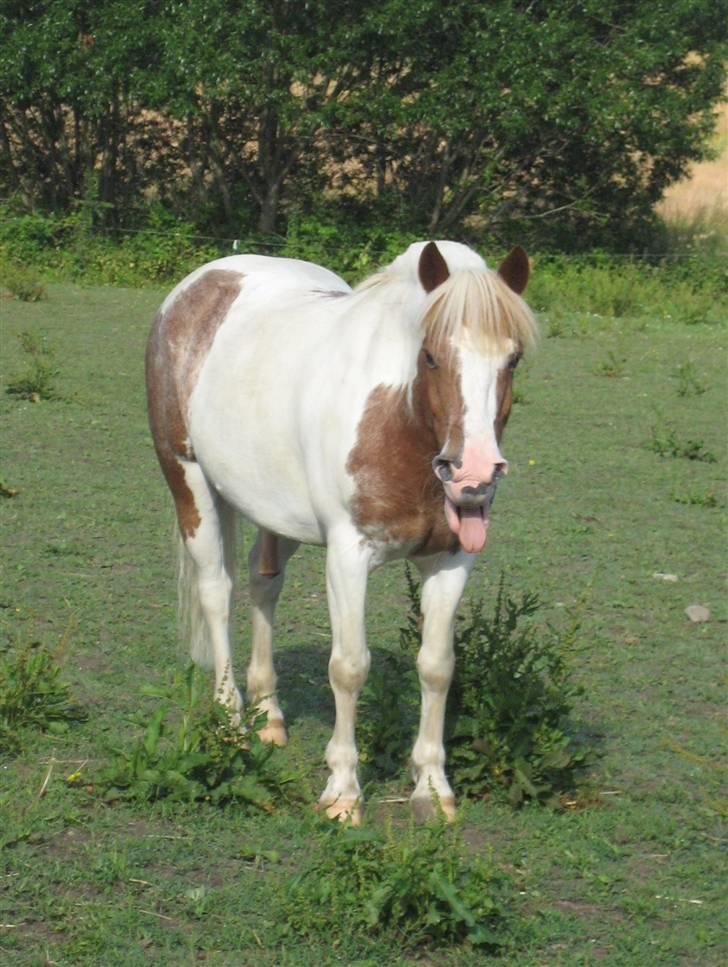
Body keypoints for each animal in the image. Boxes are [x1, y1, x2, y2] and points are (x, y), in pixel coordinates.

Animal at [145, 240, 536, 824]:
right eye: (430, 356)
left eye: (512, 359)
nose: (474, 475)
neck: (400, 419)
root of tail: (196, 285)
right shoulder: (348, 558)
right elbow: (350, 667)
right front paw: (344, 792)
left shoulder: (451, 562)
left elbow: (437, 667)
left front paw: (433, 788)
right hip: (188, 479)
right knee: (217, 593)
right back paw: (231, 722)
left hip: (271, 507)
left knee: (264, 585)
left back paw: (268, 715)